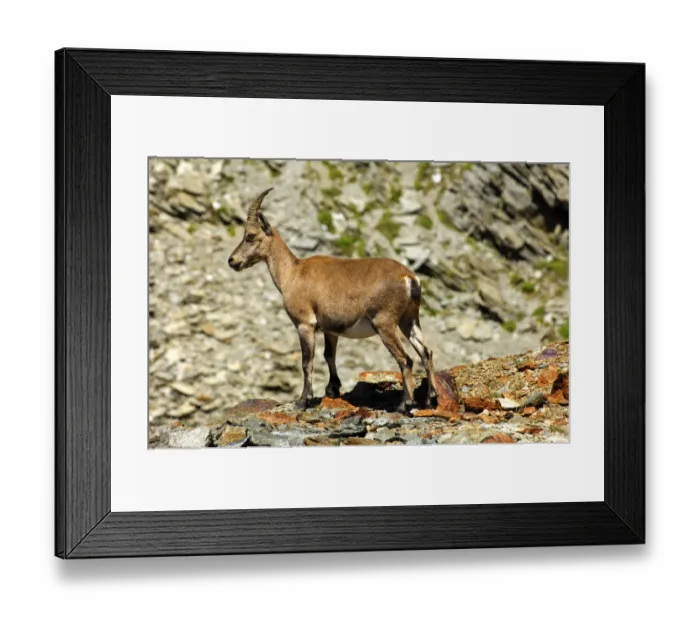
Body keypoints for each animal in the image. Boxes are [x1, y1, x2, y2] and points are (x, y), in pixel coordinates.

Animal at [228, 188, 438, 413]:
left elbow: (307, 361)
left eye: (250, 236)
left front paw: (303, 400)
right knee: (426, 352)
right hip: (410, 320)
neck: (293, 273)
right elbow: (329, 355)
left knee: (406, 360)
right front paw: (333, 389)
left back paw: (404, 404)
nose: (232, 260)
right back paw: (431, 400)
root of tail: (409, 278)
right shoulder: (330, 329)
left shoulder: (305, 324)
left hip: (385, 322)